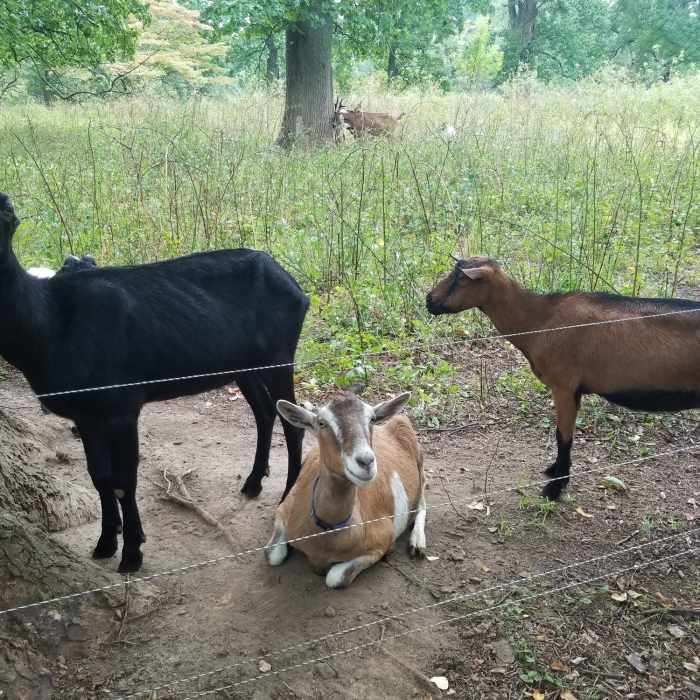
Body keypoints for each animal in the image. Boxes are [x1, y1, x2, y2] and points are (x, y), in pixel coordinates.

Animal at [0, 193, 309, 572]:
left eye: (5, 212)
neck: (51, 321)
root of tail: (295, 287)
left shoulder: (122, 407)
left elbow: (124, 481)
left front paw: (132, 553)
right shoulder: (86, 416)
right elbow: (99, 476)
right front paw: (106, 541)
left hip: (279, 356)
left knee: (292, 424)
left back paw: (287, 495)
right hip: (245, 367)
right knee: (265, 414)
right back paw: (252, 483)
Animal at [267, 391, 426, 588]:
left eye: (372, 419)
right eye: (322, 423)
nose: (366, 461)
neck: (324, 536)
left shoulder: (382, 542)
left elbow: (334, 578)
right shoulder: (284, 508)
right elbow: (273, 556)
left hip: (420, 464)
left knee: (422, 500)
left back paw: (417, 543)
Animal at [426, 256, 700, 500]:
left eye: (460, 279)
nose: (429, 300)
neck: (539, 319)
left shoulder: (564, 386)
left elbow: (563, 437)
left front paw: (556, 486)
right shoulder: (574, 390)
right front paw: (554, 472)